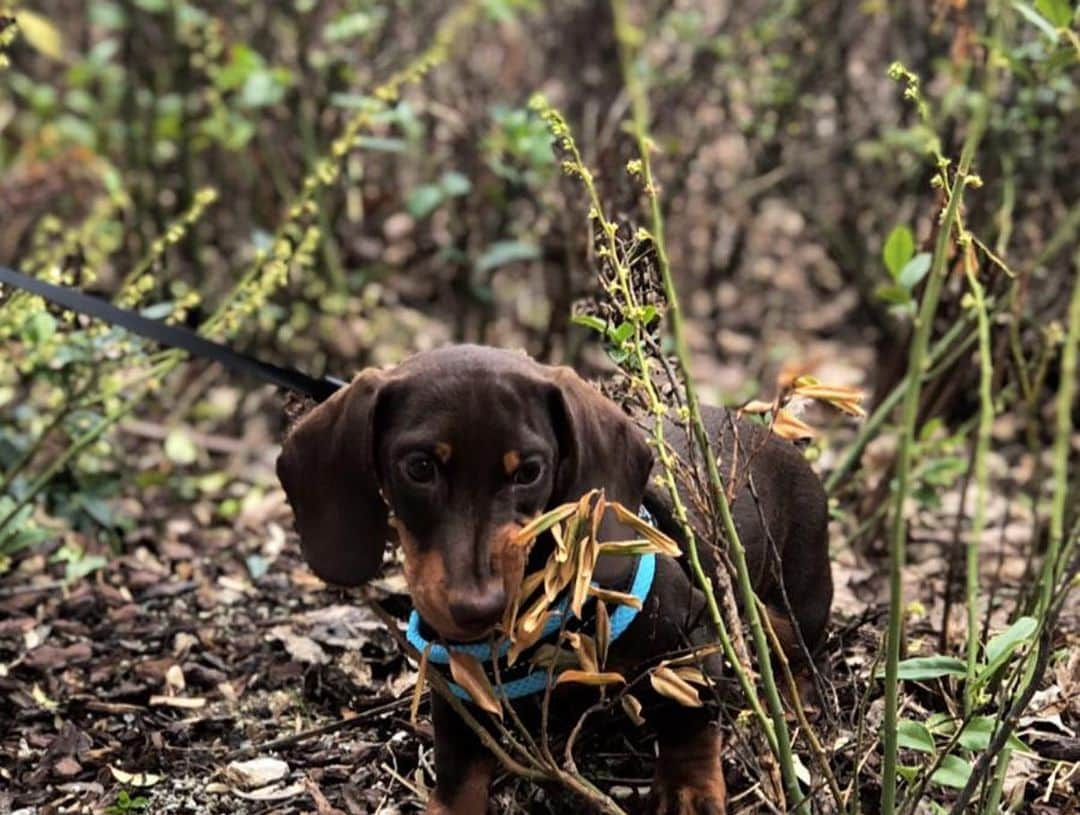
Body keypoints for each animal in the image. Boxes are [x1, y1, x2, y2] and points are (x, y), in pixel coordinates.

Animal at [274, 343, 829, 815]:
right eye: (419, 467)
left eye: (529, 472)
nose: (477, 608)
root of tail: (770, 434)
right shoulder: (459, 679)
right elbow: (459, 765)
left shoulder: (689, 636)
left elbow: (687, 719)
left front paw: (688, 792)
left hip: (793, 602)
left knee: (798, 649)